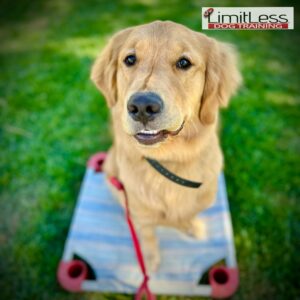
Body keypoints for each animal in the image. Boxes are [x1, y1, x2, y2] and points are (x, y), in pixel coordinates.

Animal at [91, 19, 241, 270]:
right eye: (129, 59)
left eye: (184, 63)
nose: (142, 106)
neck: (169, 160)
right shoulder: (142, 215)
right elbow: (148, 237)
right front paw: (150, 262)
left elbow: (188, 214)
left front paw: (191, 227)